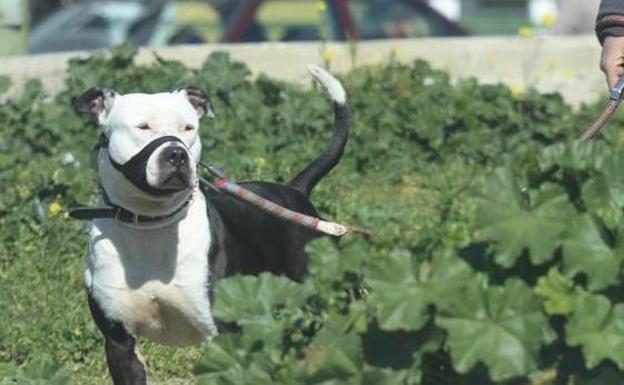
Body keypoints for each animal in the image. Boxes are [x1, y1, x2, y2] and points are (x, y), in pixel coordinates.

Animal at [74, 64, 346, 382]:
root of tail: (295, 190)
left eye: (189, 128)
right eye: (143, 127)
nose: (177, 154)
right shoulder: (119, 342)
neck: (151, 224)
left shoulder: (227, 333)